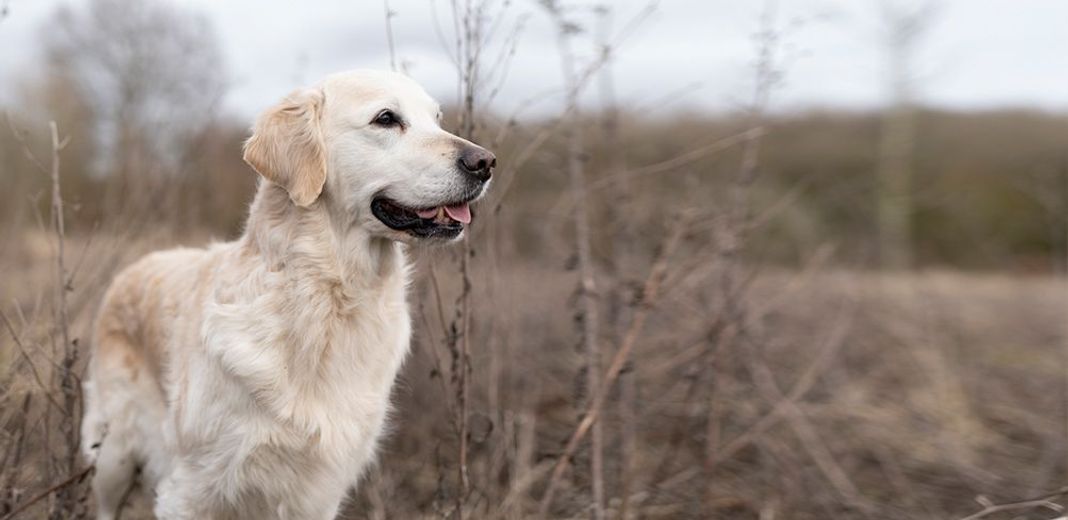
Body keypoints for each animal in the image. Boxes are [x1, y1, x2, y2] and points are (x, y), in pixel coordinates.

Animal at [80, 70, 495, 520]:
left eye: (436, 119)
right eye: (386, 118)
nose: (485, 162)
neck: (326, 300)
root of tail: (133, 267)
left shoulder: (317, 490)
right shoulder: (190, 489)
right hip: (113, 457)